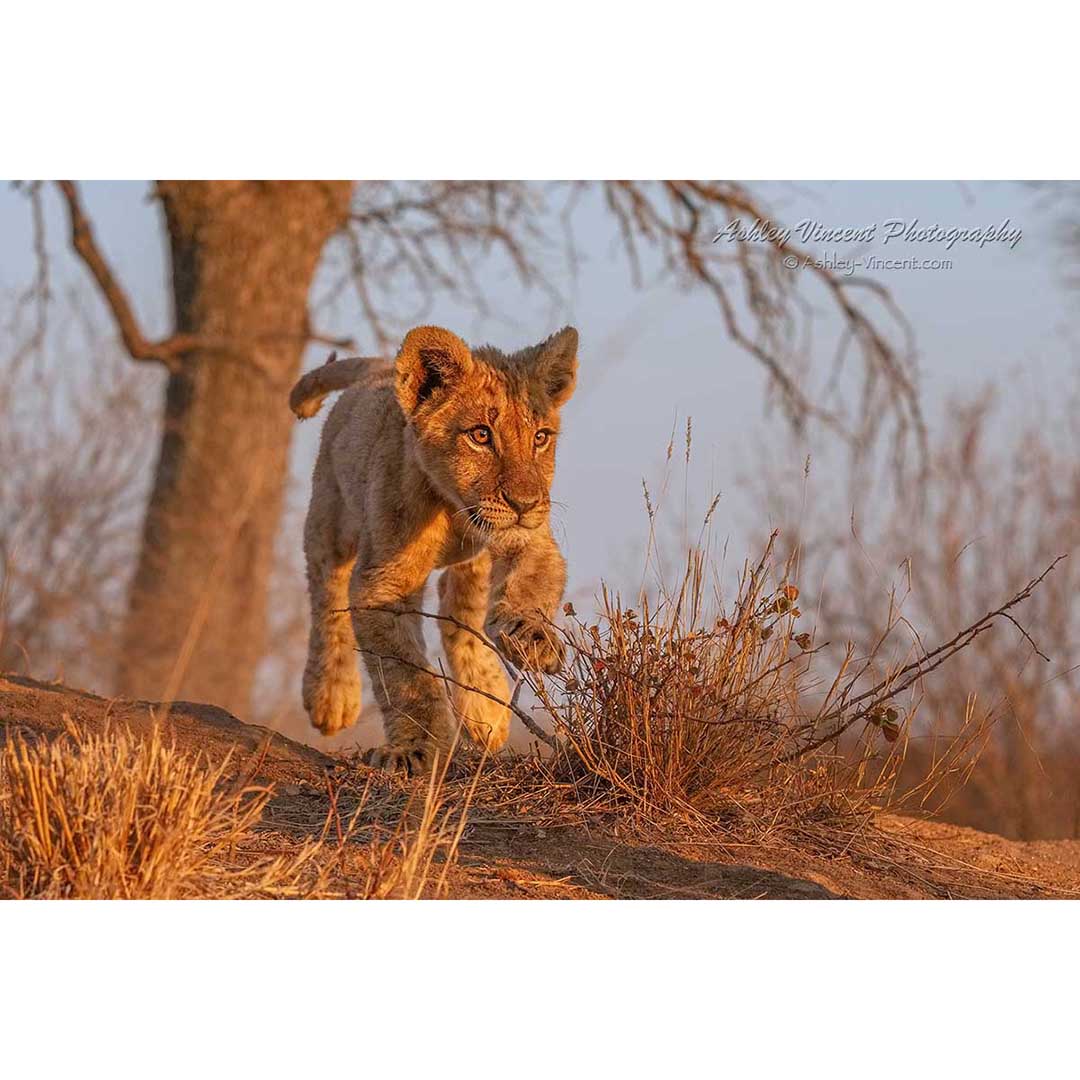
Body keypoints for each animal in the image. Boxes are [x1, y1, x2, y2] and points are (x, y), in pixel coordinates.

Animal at [289, 324, 578, 772]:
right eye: (480, 435)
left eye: (540, 438)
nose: (525, 503)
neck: (454, 508)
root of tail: (376, 367)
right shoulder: (381, 584)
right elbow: (407, 675)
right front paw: (416, 750)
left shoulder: (529, 539)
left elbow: (529, 588)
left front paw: (533, 640)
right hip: (329, 519)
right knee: (327, 593)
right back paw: (331, 693)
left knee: (459, 602)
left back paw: (485, 705)